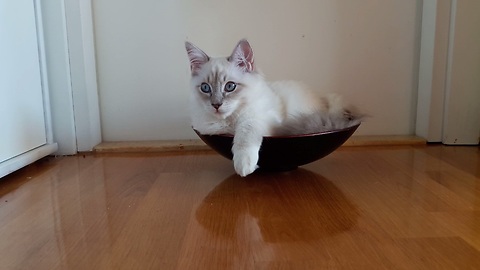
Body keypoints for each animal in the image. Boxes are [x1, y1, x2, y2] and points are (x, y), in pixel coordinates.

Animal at [184, 39, 360, 176]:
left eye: (230, 86)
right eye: (205, 88)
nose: (216, 105)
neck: (230, 121)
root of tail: (323, 100)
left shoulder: (265, 121)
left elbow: (246, 132)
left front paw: (244, 165)